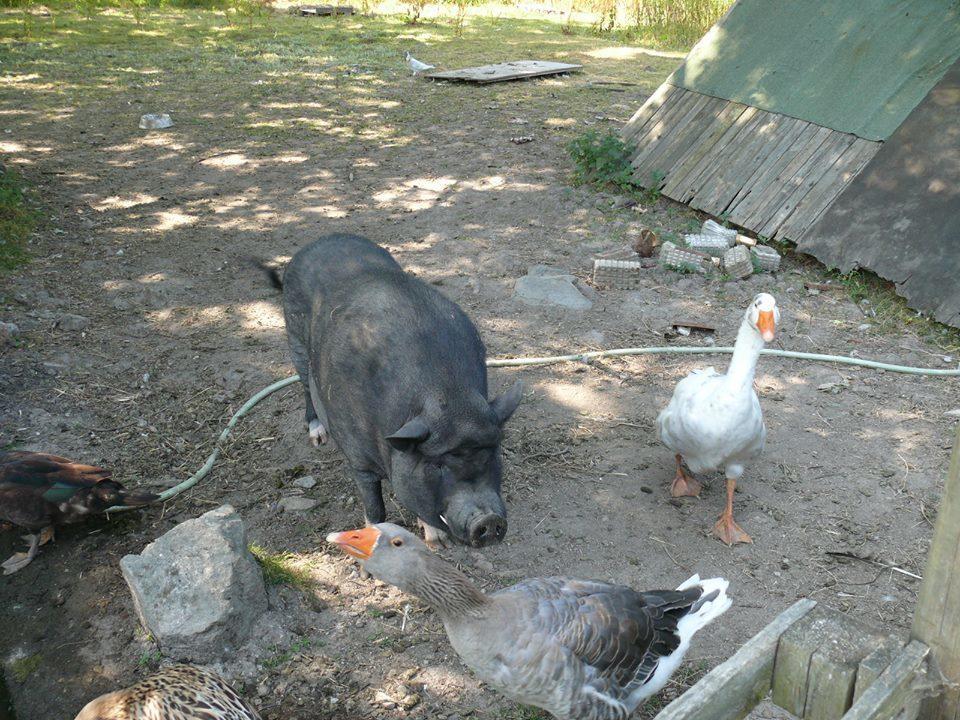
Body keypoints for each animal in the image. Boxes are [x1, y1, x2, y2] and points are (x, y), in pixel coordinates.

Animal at [258, 235, 520, 544]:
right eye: (437, 465)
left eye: (491, 453)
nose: (489, 520)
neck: (447, 397)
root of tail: (318, 242)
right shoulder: (358, 458)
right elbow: (375, 507)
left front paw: (436, 541)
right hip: (295, 339)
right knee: (306, 387)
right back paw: (318, 436)